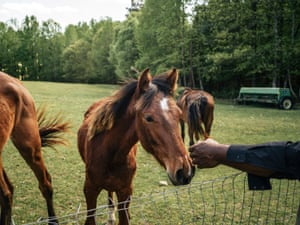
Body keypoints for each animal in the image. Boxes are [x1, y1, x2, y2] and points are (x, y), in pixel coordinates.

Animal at [77, 68, 195, 225]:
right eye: (148, 118)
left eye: (179, 114)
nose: (185, 171)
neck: (111, 155)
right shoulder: (90, 190)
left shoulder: (126, 191)